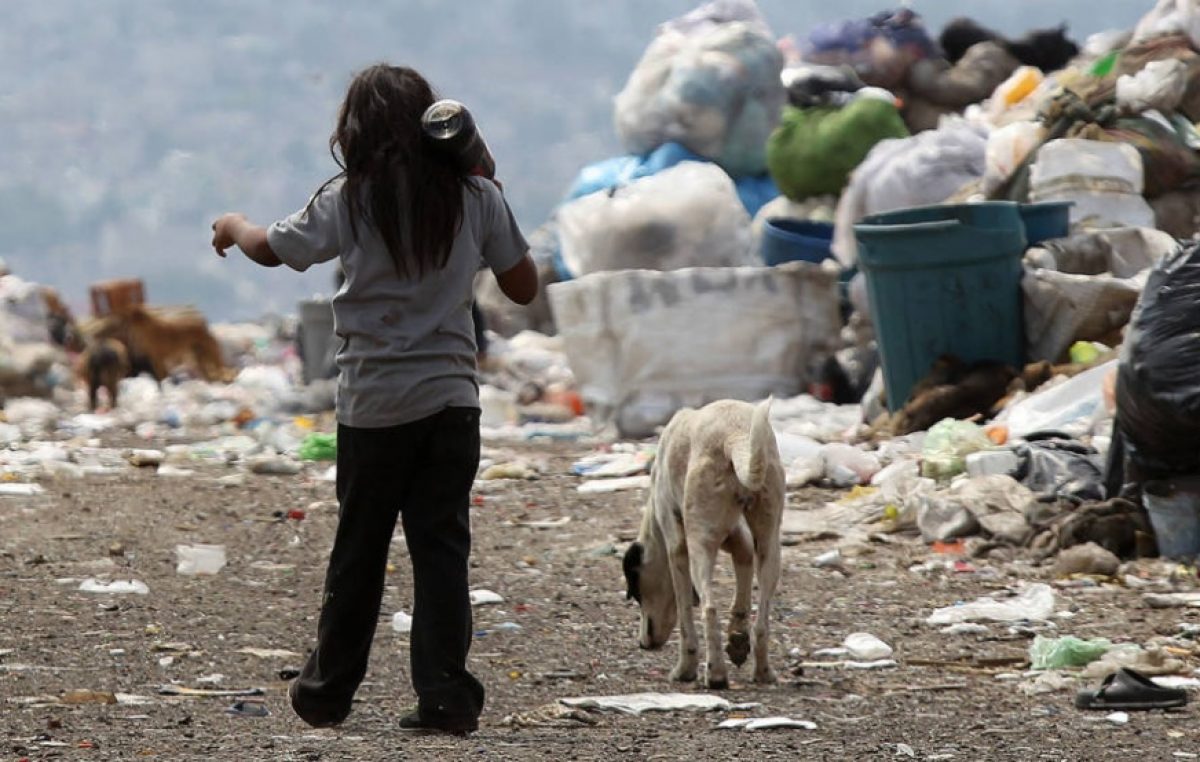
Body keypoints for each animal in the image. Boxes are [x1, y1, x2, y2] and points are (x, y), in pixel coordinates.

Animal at [624, 398, 782, 691]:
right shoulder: (738, 538)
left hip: (700, 545)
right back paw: (763, 671)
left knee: (709, 608)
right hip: (770, 543)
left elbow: (685, 614)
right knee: (762, 621)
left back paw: (716, 673)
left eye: (637, 592)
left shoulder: (677, 549)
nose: (643, 644)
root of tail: (735, 435)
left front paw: (685, 669)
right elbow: (742, 582)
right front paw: (737, 639)